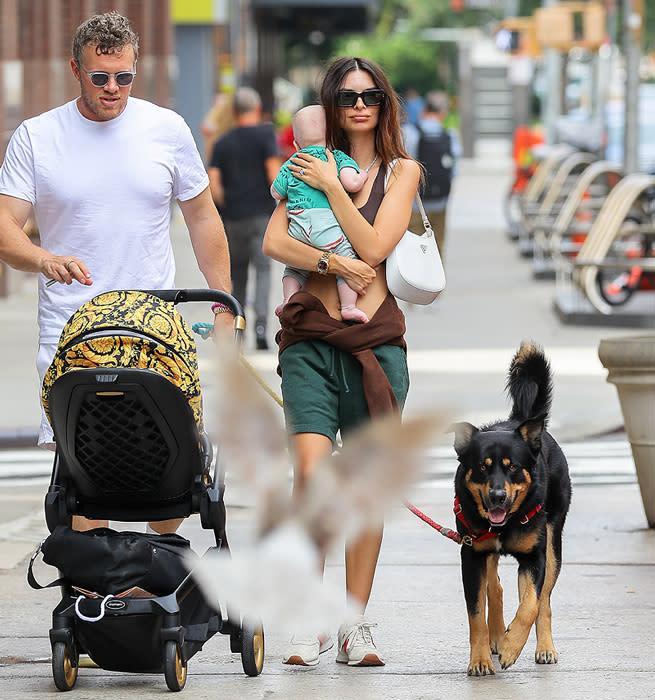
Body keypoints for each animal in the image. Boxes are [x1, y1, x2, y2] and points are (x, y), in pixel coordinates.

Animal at [454, 342, 572, 676]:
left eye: (513, 467)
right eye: (483, 467)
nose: (497, 497)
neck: (506, 524)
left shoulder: (535, 557)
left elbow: (531, 604)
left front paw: (511, 647)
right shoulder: (471, 555)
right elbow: (475, 614)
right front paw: (481, 659)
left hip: (553, 543)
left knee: (543, 600)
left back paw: (543, 648)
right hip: (485, 551)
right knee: (495, 588)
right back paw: (496, 636)